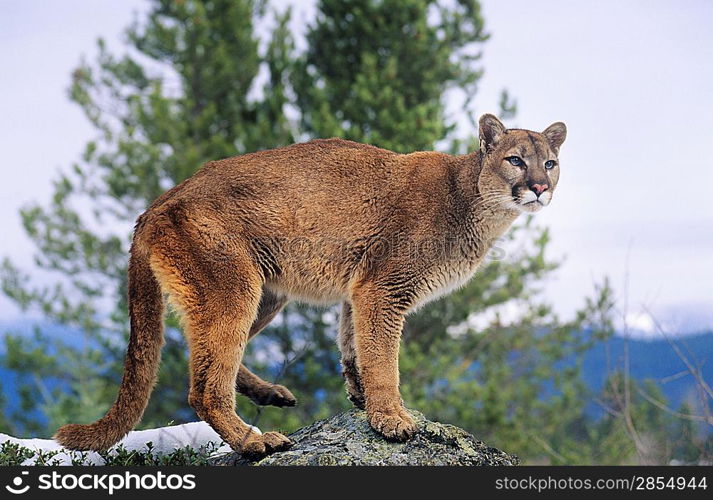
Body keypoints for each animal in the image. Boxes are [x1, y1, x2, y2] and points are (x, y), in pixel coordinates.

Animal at [54, 115, 568, 458]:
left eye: (550, 162)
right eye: (515, 160)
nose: (540, 187)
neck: (476, 203)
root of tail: (157, 202)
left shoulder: (360, 289)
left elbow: (354, 345)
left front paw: (362, 399)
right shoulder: (384, 288)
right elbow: (383, 357)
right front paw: (392, 419)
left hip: (265, 293)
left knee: (200, 354)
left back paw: (269, 395)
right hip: (234, 288)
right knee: (203, 386)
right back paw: (253, 441)